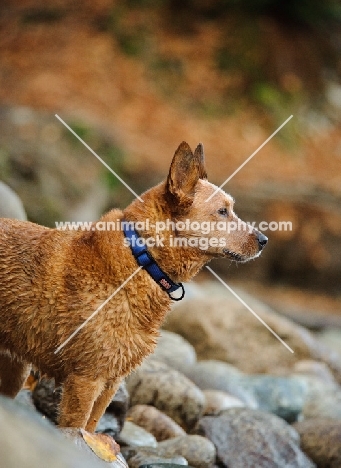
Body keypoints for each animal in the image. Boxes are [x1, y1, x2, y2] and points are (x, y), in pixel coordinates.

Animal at [0, 141, 266, 430]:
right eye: (222, 211)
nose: (264, 240)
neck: (142, 259)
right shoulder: (86, 379)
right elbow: (74, 429)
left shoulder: (111, 383)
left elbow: (90, 429)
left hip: (15, 370)